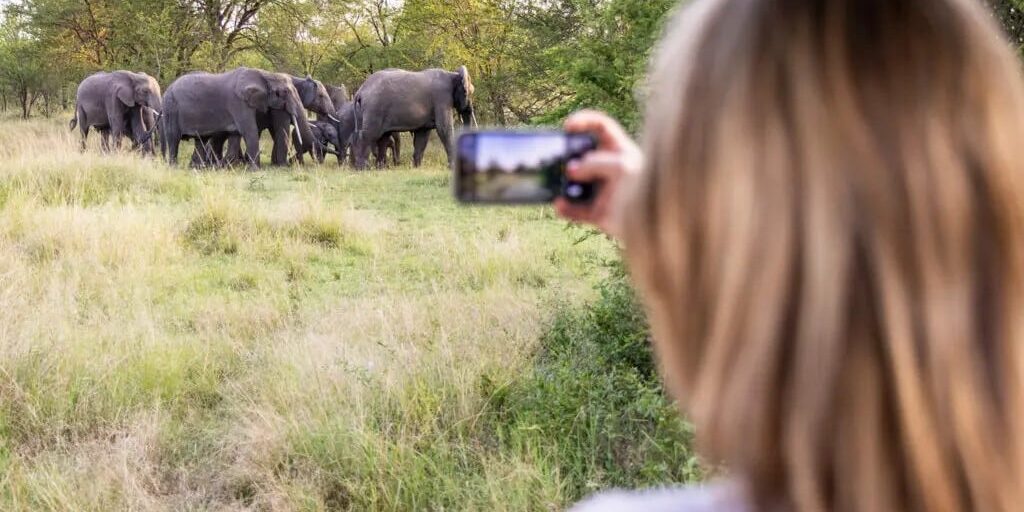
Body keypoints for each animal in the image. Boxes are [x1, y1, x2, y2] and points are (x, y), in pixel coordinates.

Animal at [161, 67, 313, 168]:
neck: (265, 74)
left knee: (201, 140)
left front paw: (224, 167)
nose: (291, 162)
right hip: (171, 109)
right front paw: (255, 170)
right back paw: (174, 167)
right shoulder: (238, 103)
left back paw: (198, 168)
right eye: (285, 92)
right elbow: (249, 131)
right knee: (173, 138)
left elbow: (235, 135)